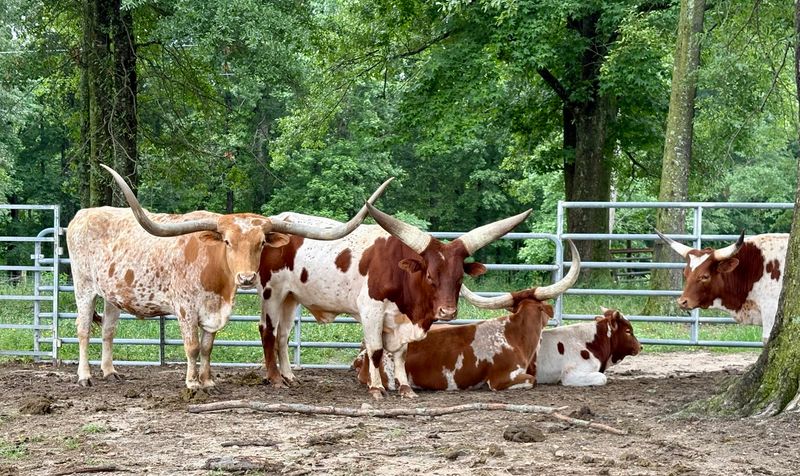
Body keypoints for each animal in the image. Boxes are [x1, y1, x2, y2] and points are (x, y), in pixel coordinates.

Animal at [66, 164, 390, 390]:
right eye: (227, 242)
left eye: (261, 242)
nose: (246, 278)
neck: (213, 273)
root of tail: (82, 215)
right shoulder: (185, 309)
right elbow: (192, 346)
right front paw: (192, 383)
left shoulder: (215, 311)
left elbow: (208, 346)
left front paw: (208, 381)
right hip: (84, 287)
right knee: (82, 330)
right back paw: (84, 376)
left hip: (112, 295)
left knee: (108, 331)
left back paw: (110, 372)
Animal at [258, 202, 533, 399]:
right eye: (430, 275)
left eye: (459, 278)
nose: (447, 312)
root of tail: (275, 223)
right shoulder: (371, 310)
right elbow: (376, 350)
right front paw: (377, 389)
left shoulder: (401, 320)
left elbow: (400, 353)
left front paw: (404, 388)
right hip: (272, 292)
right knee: (267, 331)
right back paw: (275, 379)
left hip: (290, 297)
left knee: (283, 335)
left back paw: (289, 377)